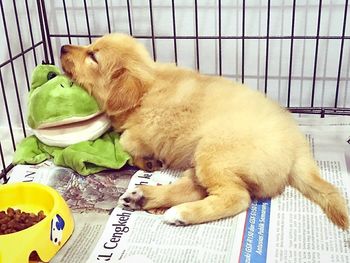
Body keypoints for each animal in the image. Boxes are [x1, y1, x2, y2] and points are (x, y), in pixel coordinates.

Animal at [61, 33, 348, 229]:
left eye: (93, 56)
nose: (63, 47)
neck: (148, 85)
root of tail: (298, 146)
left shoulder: (143, 132)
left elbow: (126, 141)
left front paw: (144, 158)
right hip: (203, 160)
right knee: (196, 188)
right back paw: (143, 197)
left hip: (214, 153)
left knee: (236, 197)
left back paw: (180, 213)